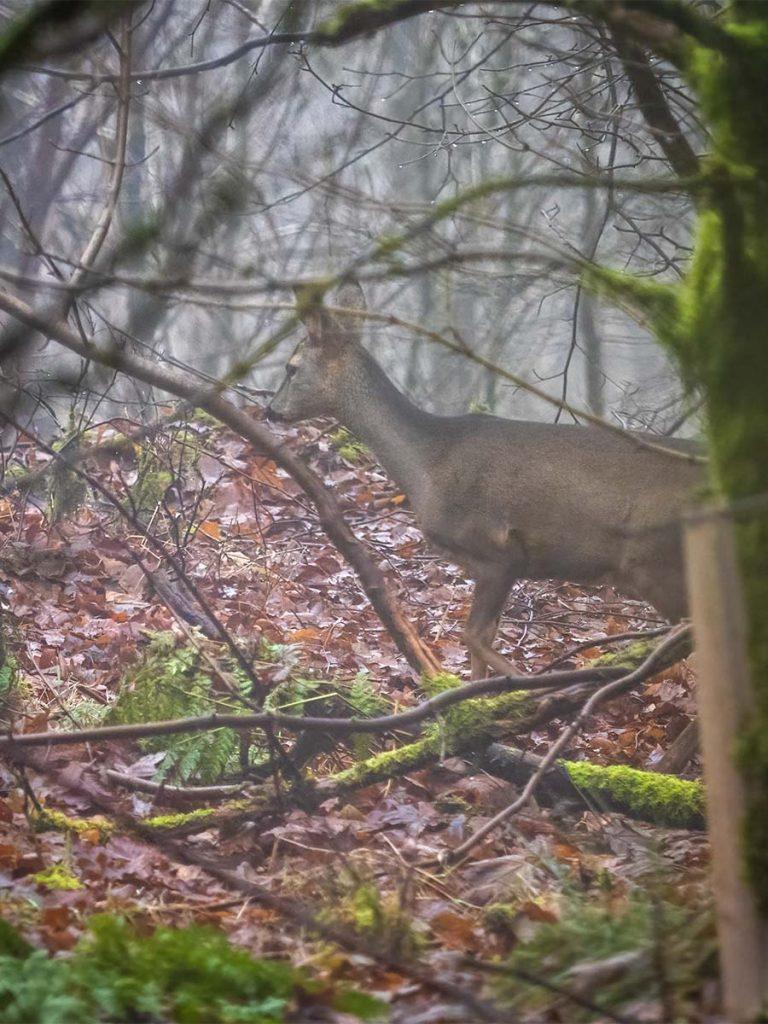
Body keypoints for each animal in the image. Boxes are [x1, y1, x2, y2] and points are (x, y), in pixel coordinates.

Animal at [268, 283, 703, 679]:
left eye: (291, 367)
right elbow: (482, 641)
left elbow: (473, 637)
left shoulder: (496, 551)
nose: (271, 409)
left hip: (657, 560)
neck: (428, 464)